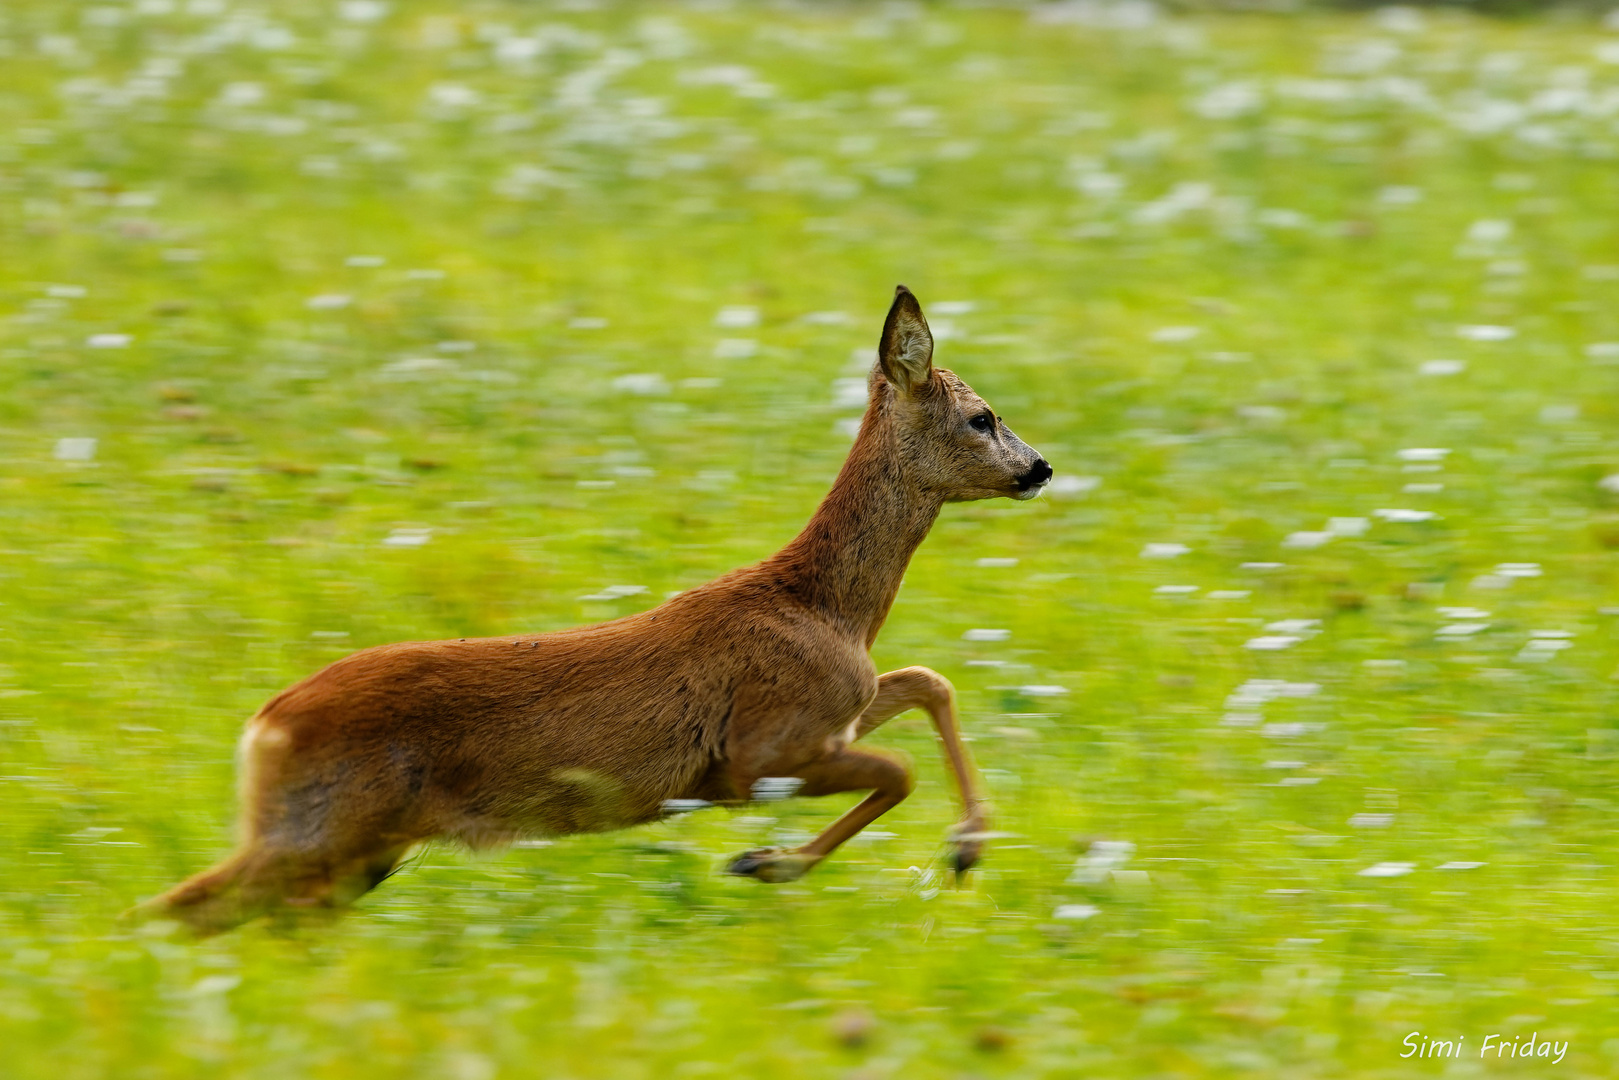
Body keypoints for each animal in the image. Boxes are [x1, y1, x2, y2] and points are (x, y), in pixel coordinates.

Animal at [135, 289, 1049, 939]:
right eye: (982, 417)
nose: (1039, 467)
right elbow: (898, 768)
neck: (823, 607)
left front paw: (962, 850)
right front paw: (768, 862)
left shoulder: (831, 721)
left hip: (353, 852)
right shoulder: (755, 754)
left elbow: (927, 680)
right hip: (321, 834)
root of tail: (262, 727)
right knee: (173, 912)